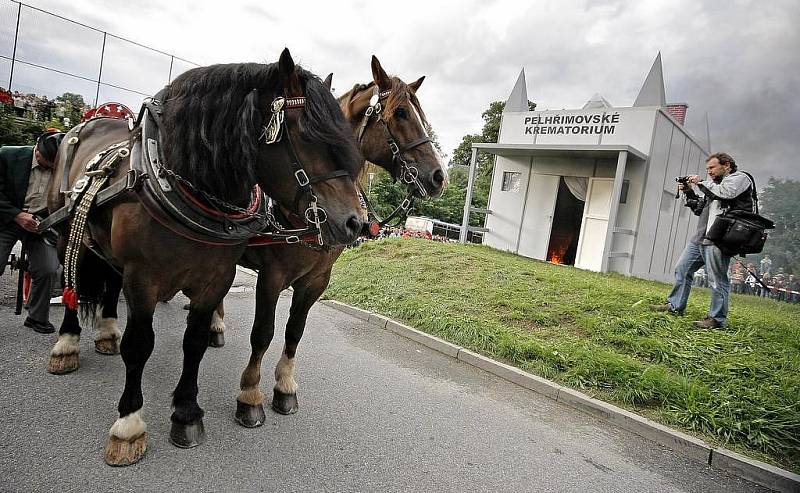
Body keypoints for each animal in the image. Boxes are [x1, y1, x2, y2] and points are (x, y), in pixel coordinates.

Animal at [45, 50, 364, 466]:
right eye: (309, 137)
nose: (356, 222)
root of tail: (91, 122)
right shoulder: (146, 277)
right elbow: (141, 344)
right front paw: (129, 424)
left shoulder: (229, 277)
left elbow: (197, 342)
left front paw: (186, 412)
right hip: (68, 231)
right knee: (73, 282)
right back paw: (68, 342)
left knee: (109, 282)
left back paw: (108, 330)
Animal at [228, 54, 446, 426]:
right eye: (401, 113)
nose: (438, 177)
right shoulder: (271, 277)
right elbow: (263, 333)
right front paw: (250, 394)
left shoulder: (316, 280)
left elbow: (294, 331)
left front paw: (285, 386)